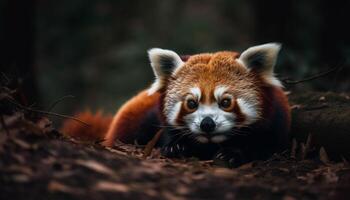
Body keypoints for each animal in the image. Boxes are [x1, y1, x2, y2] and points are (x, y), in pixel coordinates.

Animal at [62, 43, 290, 166]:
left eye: (226, 102)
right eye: (191, 103)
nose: (207, 124)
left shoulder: (276, 122)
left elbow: (262, 145)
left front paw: (233, 153)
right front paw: (175, 147)